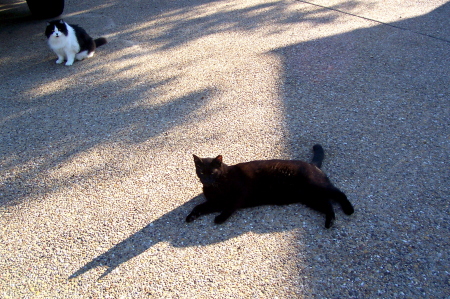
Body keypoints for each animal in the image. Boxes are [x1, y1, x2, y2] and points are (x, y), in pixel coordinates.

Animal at [186, 145, 356, 230]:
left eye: (212, 172)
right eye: (201, 171)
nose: (206, 179)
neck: (215, 187)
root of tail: (311, 164)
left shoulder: (239, 195)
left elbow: (230, 208)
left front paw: (220, 218)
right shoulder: (216, 202)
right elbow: (198, 207)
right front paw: (190, 216)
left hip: (317, 187)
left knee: (340, 193)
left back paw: (349, 210)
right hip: (310, 198)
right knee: (328, 205)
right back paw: (330, 222)